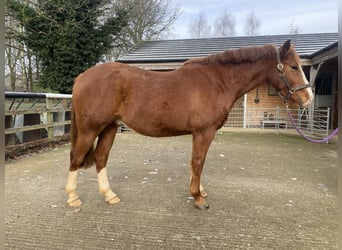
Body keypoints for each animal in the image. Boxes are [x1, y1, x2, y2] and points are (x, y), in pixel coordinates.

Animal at [66, 40, 312, 210]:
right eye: (293, 67)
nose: (308, 99)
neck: (217, 81)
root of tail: (81, 78)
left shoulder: (199, 133)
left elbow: (195, 164)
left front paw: (199, 190)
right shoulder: (204, 132)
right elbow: (198, 162)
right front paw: (198, 198)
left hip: (110, 128)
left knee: (100, 158)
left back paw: (109, 195)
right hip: (90, 130)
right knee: (76, 158)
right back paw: (73, 198)